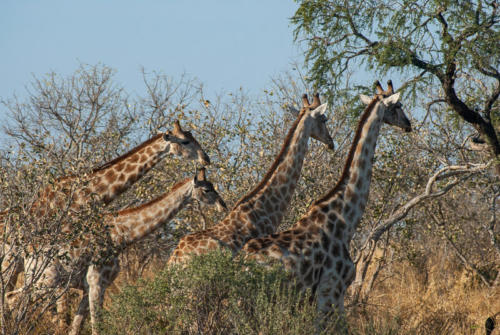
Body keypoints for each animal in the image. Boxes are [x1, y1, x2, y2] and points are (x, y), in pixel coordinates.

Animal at [4, 168, 225, 335]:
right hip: (47, 280)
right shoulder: (97, 282)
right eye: (207, 189)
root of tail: (28, 251)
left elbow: (76, 328)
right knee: (13, 297)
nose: (223, 206)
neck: (120, 235)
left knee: (14, 298)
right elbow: (97, 326)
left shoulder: (90, 286)